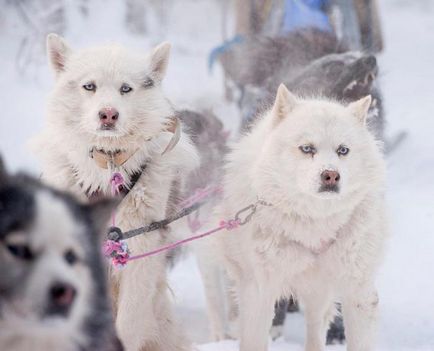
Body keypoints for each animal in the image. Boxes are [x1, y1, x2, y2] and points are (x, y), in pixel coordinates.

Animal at [31, 33, 198, 351]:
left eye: (125, 89)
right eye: (89, 86)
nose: (108, 114)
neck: (107, 166)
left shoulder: (140, 248)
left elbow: (129, 324)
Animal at [210, 85, 386, 351]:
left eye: (343, 150)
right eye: (307, 148)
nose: (331, 175)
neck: (314, 223)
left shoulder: (359, 292)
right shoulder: (258, 292)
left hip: (319, 291)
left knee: (315, 329)